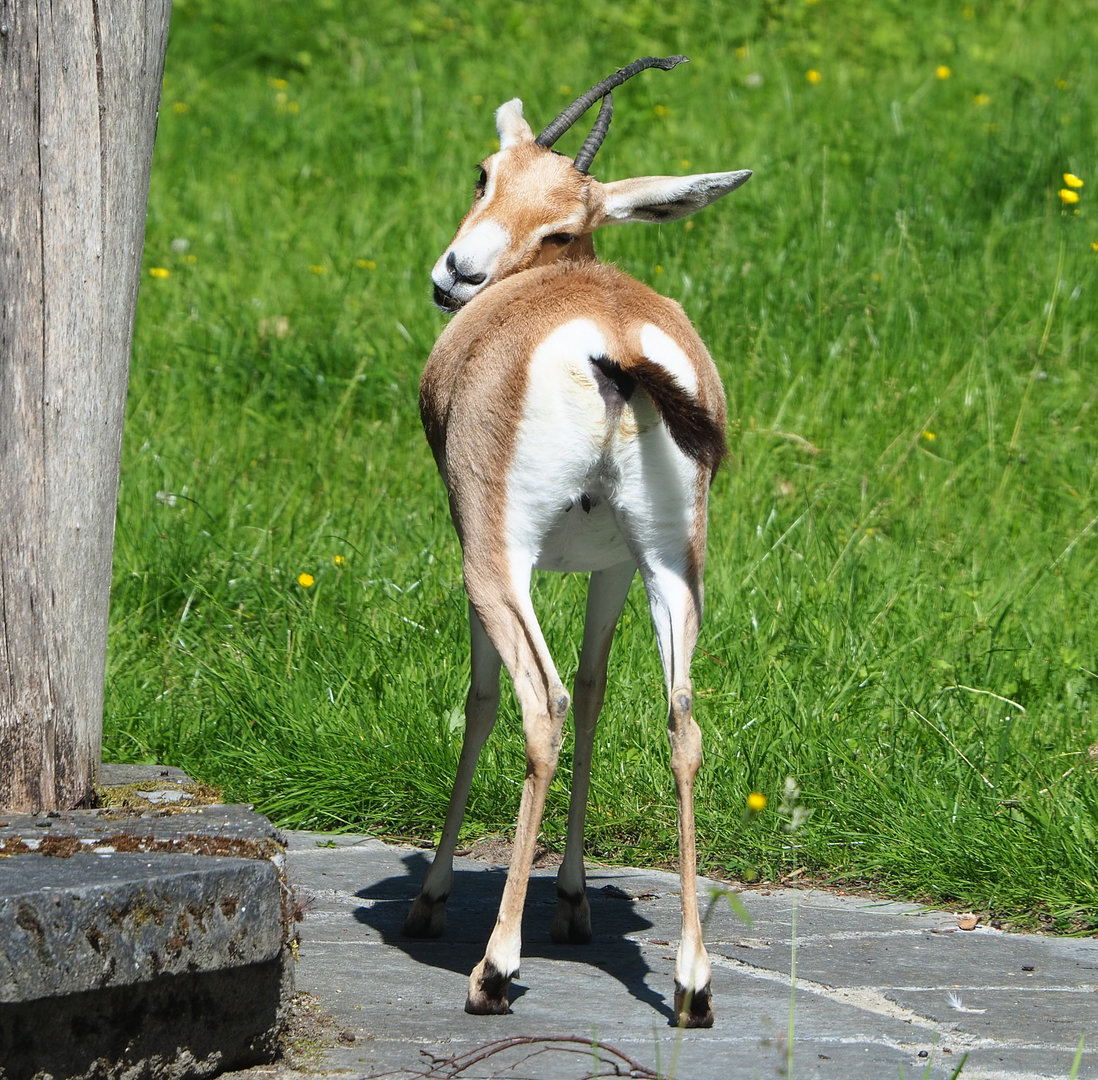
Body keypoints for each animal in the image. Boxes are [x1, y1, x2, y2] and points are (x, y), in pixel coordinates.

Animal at [406, 55, 751, 1028]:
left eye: (562, 224)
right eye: (486, 174)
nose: (458, 273)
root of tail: (614, 344)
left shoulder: (477, 550)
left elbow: (485, 700)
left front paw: (433, 896)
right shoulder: (612, 568)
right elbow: (601, 692)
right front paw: (572, 899)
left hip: (499, 561)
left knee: (540, 703)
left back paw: (493, 968)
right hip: (675, 567)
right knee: (682, 721)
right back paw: (691, 984)